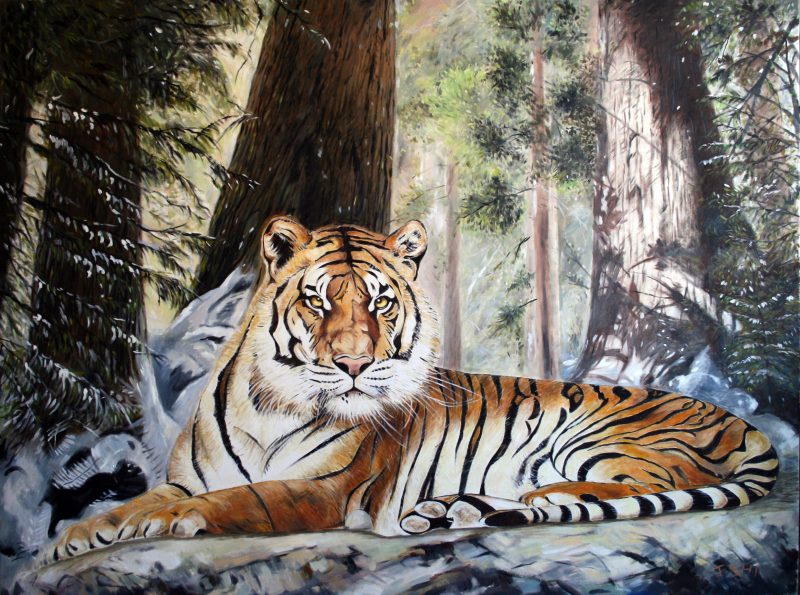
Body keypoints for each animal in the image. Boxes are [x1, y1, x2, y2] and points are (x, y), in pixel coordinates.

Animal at [46, 215, 779, 562]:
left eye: (380, 302)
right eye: (316, 299)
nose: (351, 364)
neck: (271, 401)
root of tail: (745, 422)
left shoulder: (322, 489)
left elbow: (238, 499)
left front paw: (162, 523)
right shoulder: (186, 477)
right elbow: (138, 502)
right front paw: (73, 539)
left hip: (596, 438)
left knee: (641, 486)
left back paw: (517, 500)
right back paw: (454, 510)